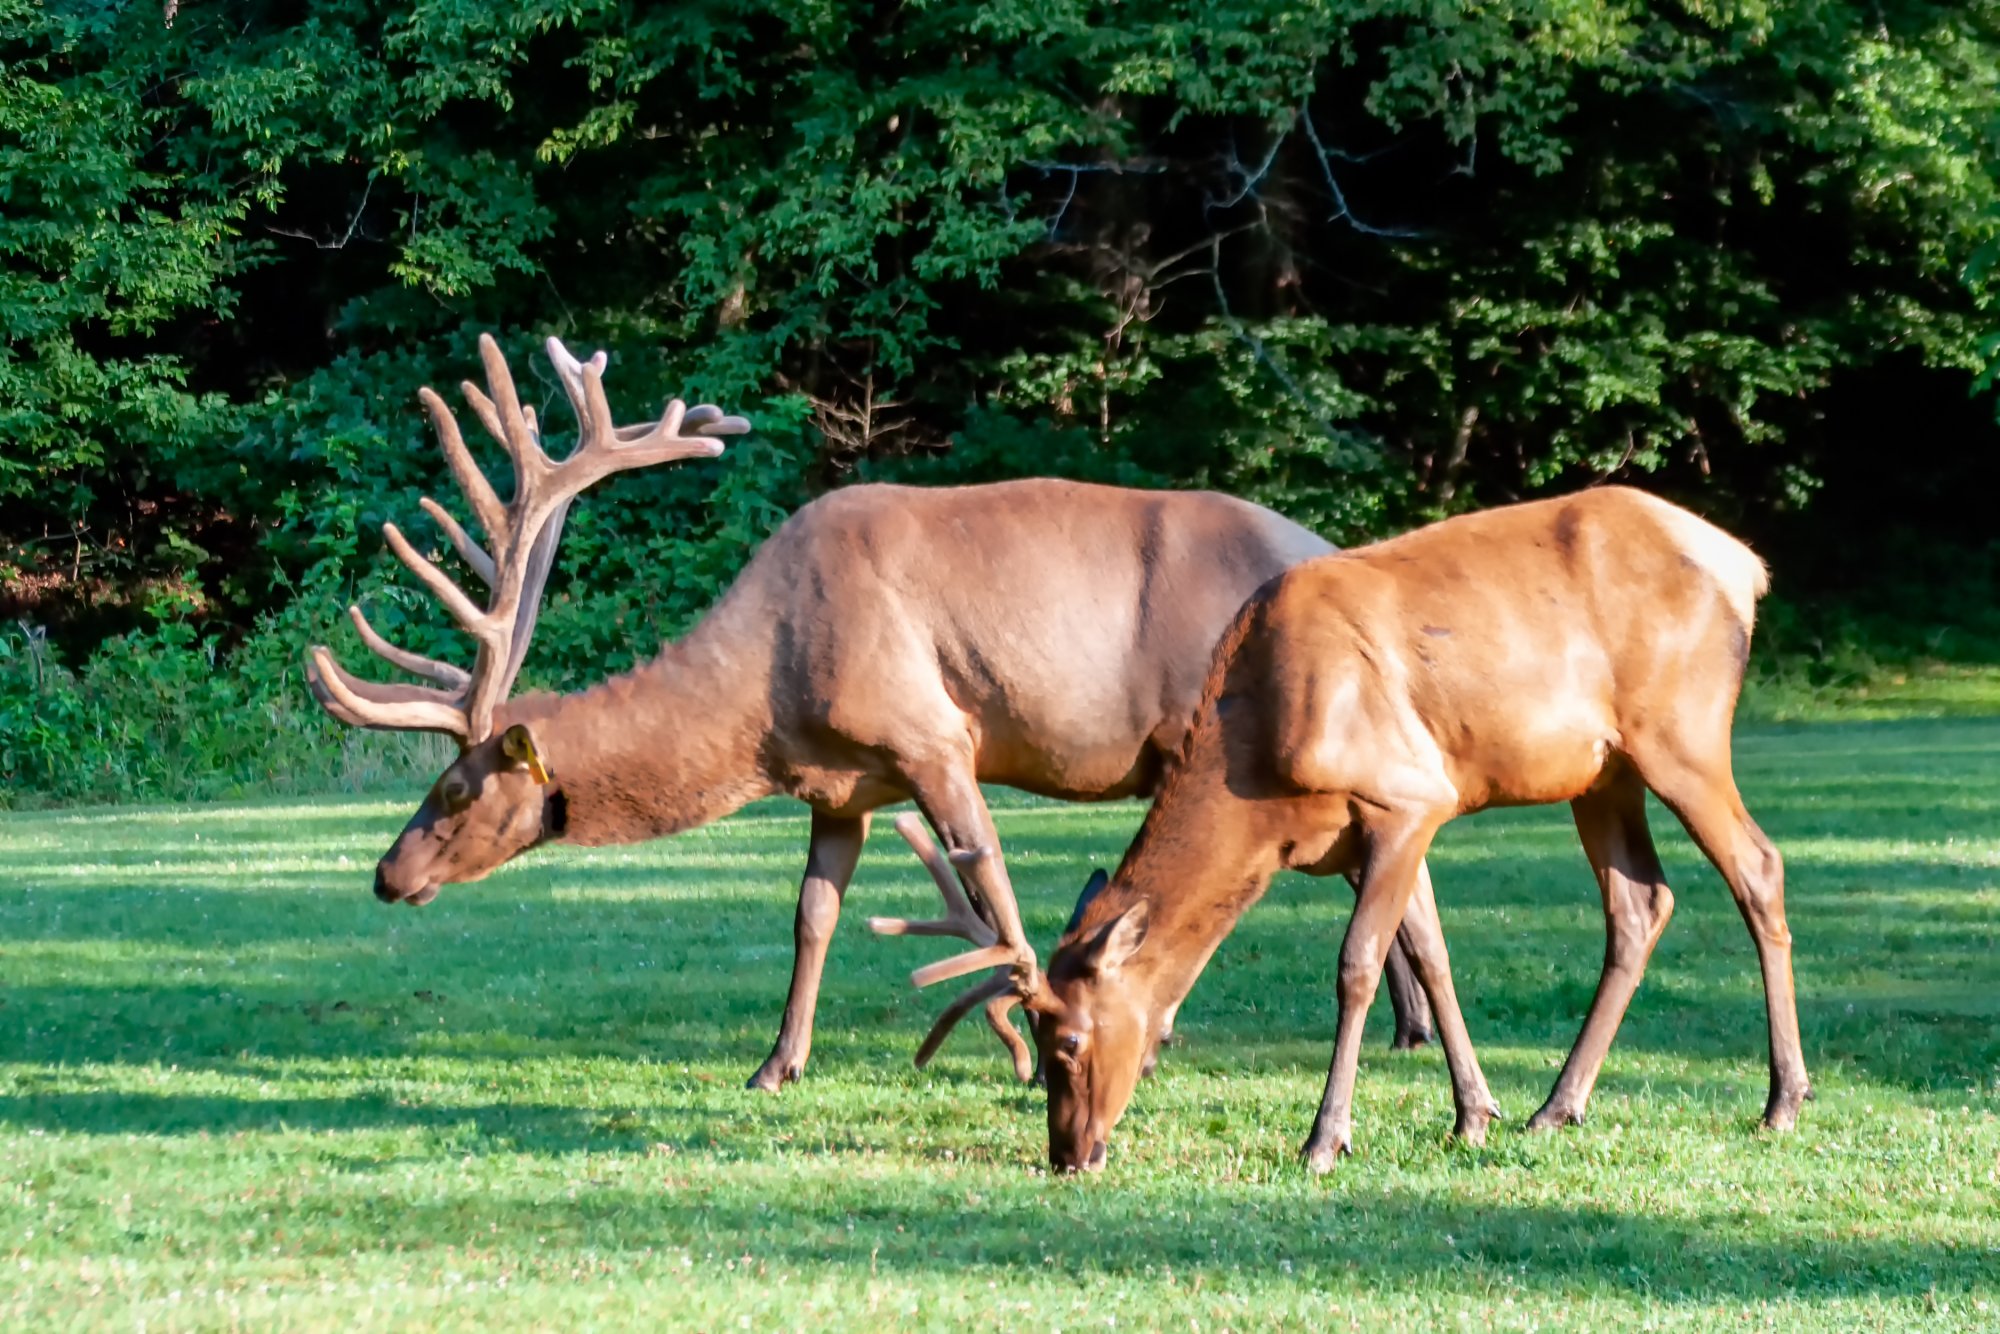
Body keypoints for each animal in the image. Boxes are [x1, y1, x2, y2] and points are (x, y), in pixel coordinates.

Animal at [304, 333, 1442, 1092]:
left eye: (454, 786)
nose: (385, 873)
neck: (764, 698)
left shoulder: (933, 734)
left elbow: (992, 895)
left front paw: (1018, 1048)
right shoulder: (839, 785)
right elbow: (812, 914)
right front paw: (777, 1063)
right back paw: (1411, 1033)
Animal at [894, 486, 1811, 1173]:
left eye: (1071, 1041)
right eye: (1038, 1036)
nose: (1070, 1154)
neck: (1263, 772)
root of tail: (1749, 567)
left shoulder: (1406, 795)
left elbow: (1359, 964)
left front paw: (1325, 1138)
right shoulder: (1406, 814)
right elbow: (1434, 957)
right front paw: (1474, 1114)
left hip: (1682, 732)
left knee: (1759, 867)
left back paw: (1782, 1100)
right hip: (1603, 772)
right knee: (1640, 904)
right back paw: (1557, 1105)